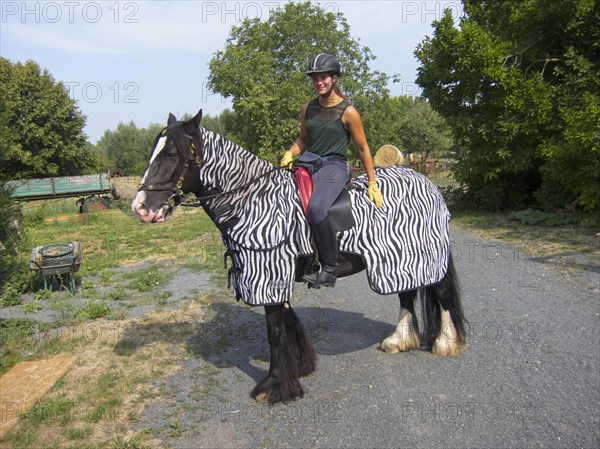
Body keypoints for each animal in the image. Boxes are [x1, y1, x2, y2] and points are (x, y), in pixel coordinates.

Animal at [132, 111, 468, 402]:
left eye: (171, 154)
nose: (141, 207)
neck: (253, 201)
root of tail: (428, 184)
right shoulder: (275, 272)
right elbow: (288, 322)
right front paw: (301, 366)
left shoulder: (268, 272)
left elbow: (275, 331)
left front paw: (275, 387)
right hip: (397, 260)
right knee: (406, 294)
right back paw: (399, 340)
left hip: (423, 257)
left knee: (440, 293)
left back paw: (446, 343)